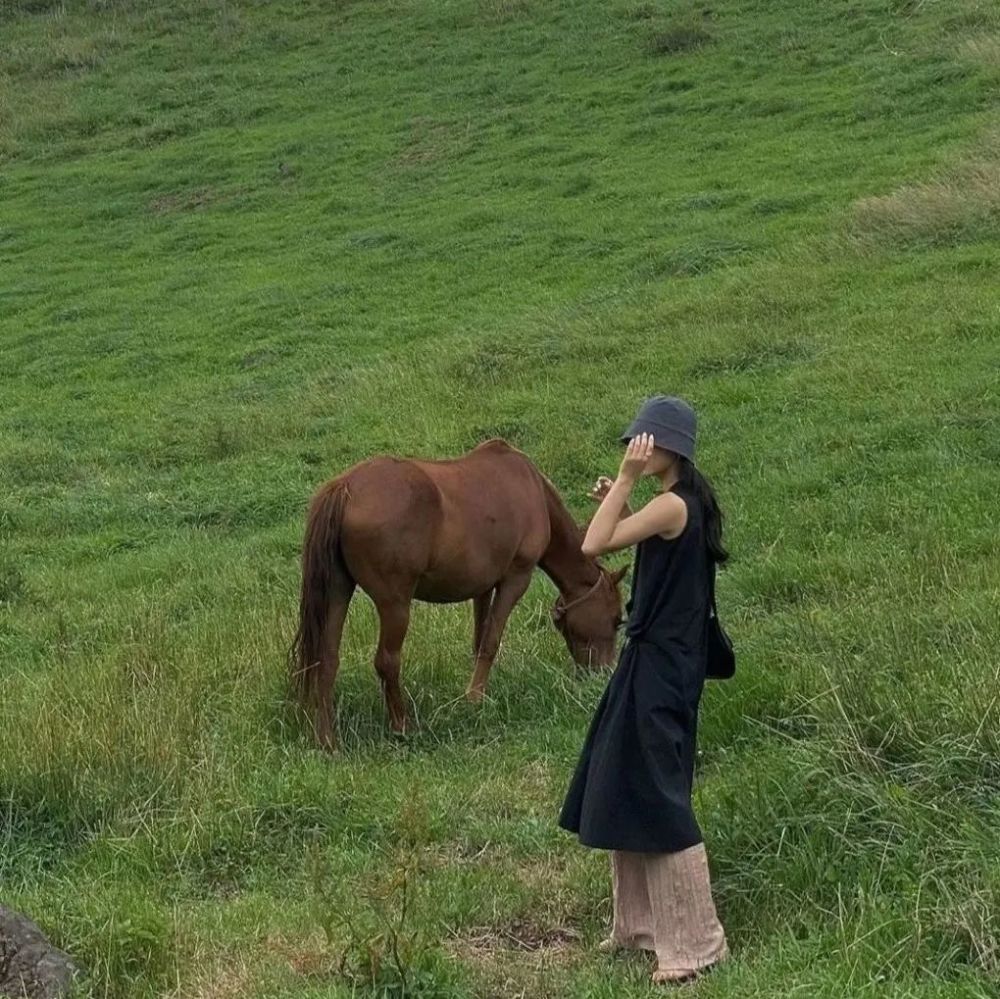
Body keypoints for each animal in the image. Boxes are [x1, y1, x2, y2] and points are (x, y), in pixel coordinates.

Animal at [292, 440, 624, 752]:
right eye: (617, 620)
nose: (604, 671)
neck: (533, 489)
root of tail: (345, 487)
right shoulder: (516, 579)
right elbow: (490, 642)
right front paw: (475, 699)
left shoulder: (483, 587)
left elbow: (479, 641)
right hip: (395, 604)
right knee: (387, 661)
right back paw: (402, 726)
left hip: (337, 591)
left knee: (326, 659)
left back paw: (328, 740)